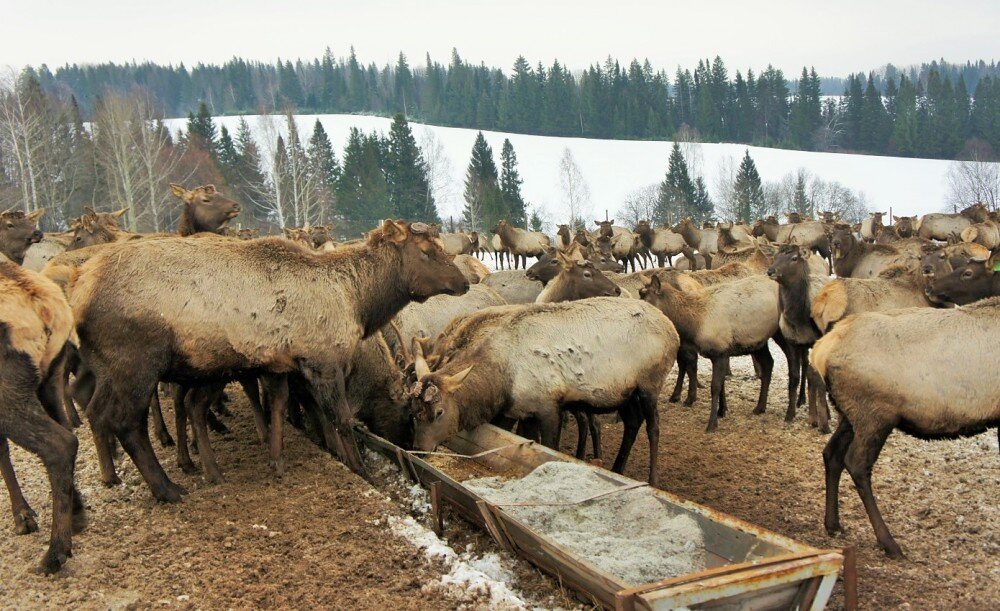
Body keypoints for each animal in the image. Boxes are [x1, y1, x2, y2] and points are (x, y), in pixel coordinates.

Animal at [408, 298, 680, 486]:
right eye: (413, 411)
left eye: (439, 411)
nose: (419, 448)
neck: (502, 381)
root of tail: (673, 331)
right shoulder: (525, 412)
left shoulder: (550, 406)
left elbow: (551, 448)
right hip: (627, 393)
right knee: (632, 423)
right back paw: (617, 467)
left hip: (649, 384)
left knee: (653, 427)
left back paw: (652, 479)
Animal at [812, 298, 1000, 560]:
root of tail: (821, 349)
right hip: (875, 414)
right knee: (857, 463)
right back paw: (889, 543)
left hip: (850, 414)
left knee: (832, 453)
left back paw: (833, 524)